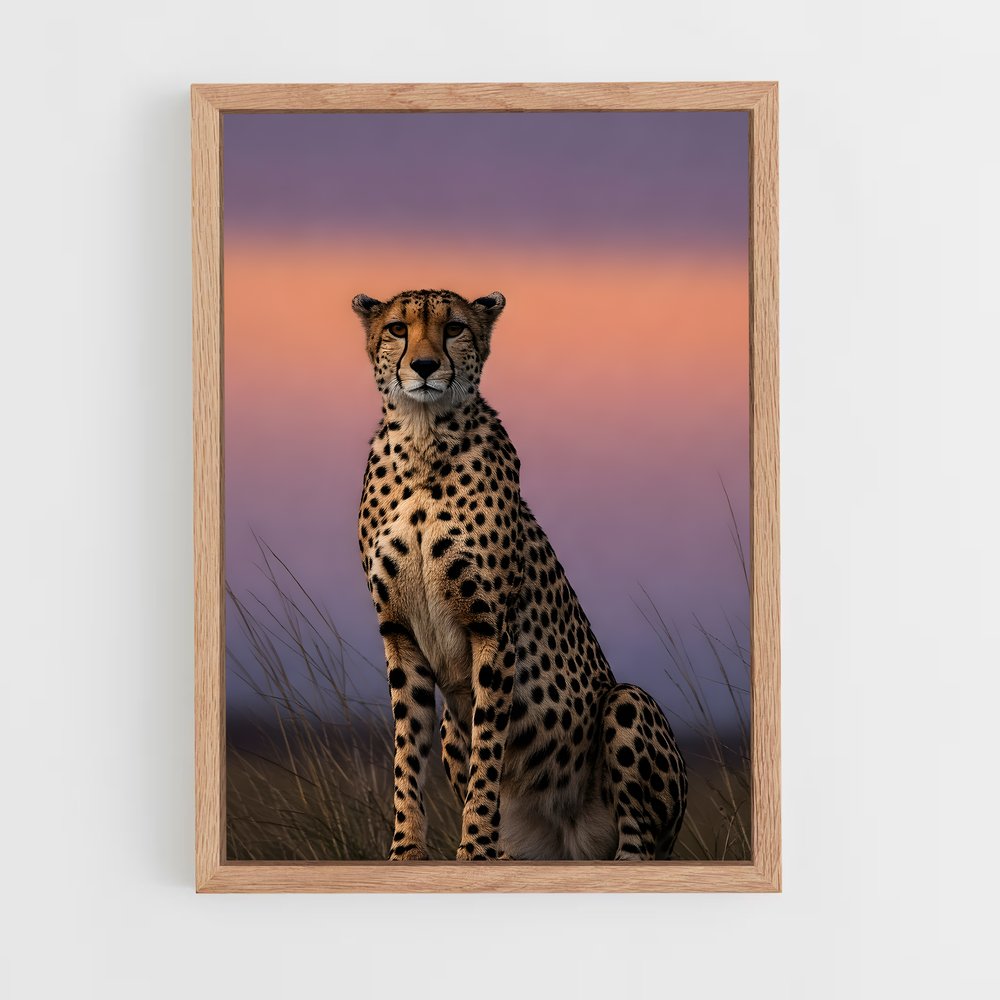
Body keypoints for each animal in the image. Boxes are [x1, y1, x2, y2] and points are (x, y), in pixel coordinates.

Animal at [352, 287, 687, 861]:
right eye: (398, 328)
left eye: (455, 328)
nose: (424, 366)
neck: (422, 441)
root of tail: (570, 848)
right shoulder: (398, 633)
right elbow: (406, 752)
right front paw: (406, 852)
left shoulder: (492, 628)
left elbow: (488, 748)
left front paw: (475, 851)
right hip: (453, 727)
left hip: (627, 704)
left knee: (638, 844)